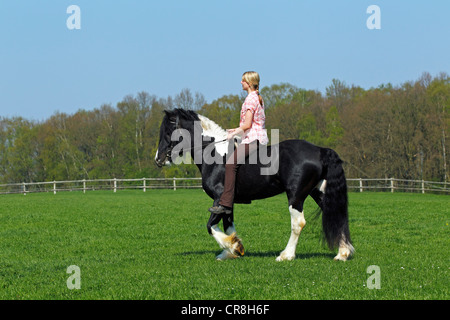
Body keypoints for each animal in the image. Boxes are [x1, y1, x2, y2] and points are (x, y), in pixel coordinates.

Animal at [155, 109, 356, 262]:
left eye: (168, 132)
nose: (158, 159)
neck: (215, 154)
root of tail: (320, 150)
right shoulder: (227, 203)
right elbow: (228, 226)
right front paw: (233, 249)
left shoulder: (219, 199)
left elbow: (211, 227)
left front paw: (232, 246)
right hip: (319, 193)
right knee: (336, 216)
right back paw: (342, 254)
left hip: (296, 196)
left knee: (298, 223)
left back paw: (286, 255)